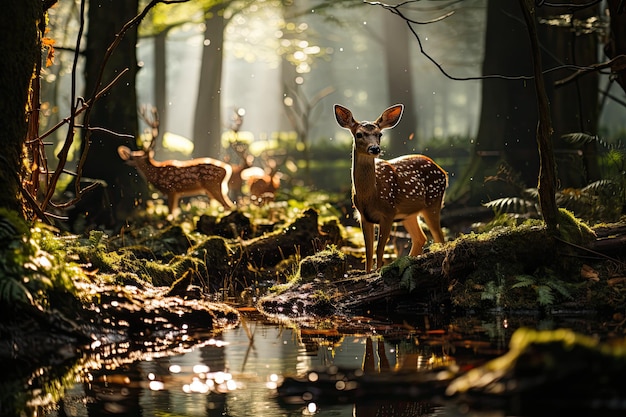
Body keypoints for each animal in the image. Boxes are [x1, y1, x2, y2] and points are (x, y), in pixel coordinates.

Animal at [334, 103, 446, 272]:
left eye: (380, 134)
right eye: (359, 134)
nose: (375, 149)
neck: (370, 196)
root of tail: (443, 171)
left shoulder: (388, 212)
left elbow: (379, 249)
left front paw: (378, 271)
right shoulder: (363, 216)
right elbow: (368, 251)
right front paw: (368, 272)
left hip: (433, 201)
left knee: (440, 237)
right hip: (408, 214)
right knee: (421, 238)